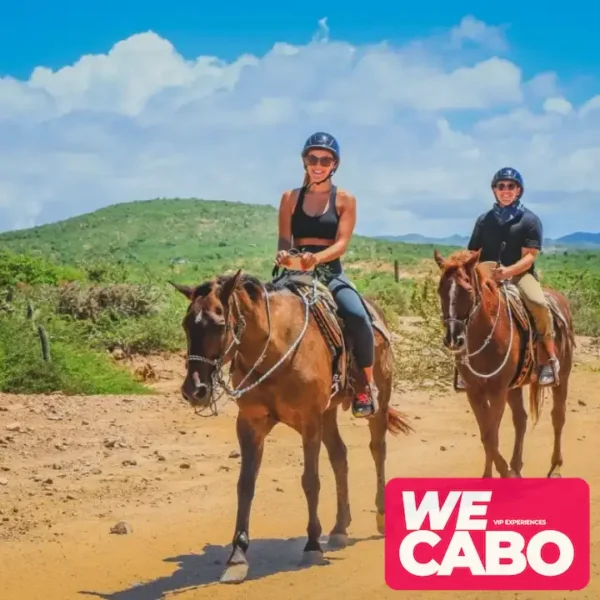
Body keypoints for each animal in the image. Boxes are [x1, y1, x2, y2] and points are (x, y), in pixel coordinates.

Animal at [169, 270, 412, 584]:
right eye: (186, 324)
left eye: (220, 325)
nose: (194, 390)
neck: (276, 348)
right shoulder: (250, 424)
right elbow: (245, 484)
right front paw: (237, 556)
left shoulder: (309, 421)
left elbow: (310, 481)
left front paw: (312, 545)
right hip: (329, 413)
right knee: (340, 457)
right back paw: (339, 528)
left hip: (378, 401)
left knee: (377, 449)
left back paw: (380, 517)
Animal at [432, 248, 576, 478]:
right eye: (440, 289)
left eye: (468, 290)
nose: (453, 339)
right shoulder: (475, 392)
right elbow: (487, 435)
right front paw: (493, 475)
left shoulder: (497, 391)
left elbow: (492, 435)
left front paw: (504, 474)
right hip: (514, 387)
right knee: (521, 420)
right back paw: (516, 465)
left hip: (562, 377)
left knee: (558, 417)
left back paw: (556, 467)